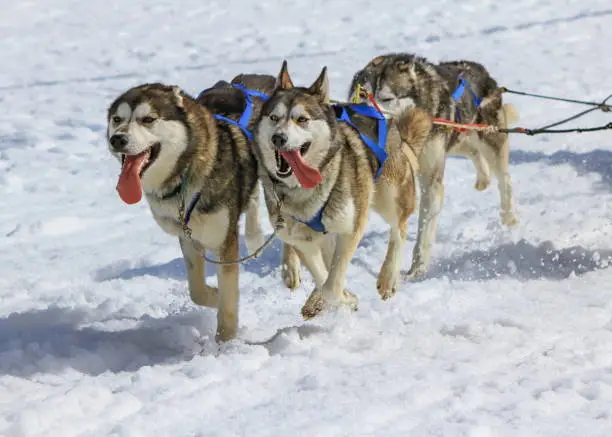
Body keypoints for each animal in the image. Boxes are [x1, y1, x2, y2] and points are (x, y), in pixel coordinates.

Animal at [106, 78, 272, 342]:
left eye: (148, 119)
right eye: (116, 119)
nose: (118, 139)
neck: (183, 177)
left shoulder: (224, 240)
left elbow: (228, 297)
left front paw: (225, 342)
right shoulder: (187, 236)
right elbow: (197, 291)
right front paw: (214, 295)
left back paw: (256, 237)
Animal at [252, 61, 430, 316]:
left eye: (302, 119)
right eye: (274, 117)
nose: (278, 138)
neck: (304, 190)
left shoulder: (350, 229)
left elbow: (331, 286)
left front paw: (341, 299)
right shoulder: (303, 242)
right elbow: (323, 277)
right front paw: (336, 299)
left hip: (388, 196)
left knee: (400, 228)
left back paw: (387, 278)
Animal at [350, 53, 516, 276]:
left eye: (386, 99)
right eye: (362, 95)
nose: (364, 119)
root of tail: (482, 71)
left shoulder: (431, 180)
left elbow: (424, 229)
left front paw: (417, 269)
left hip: (490, 142)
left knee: (504, 179)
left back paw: (509, 218)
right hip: (458, 138)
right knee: (472, 151)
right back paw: (483, 179)